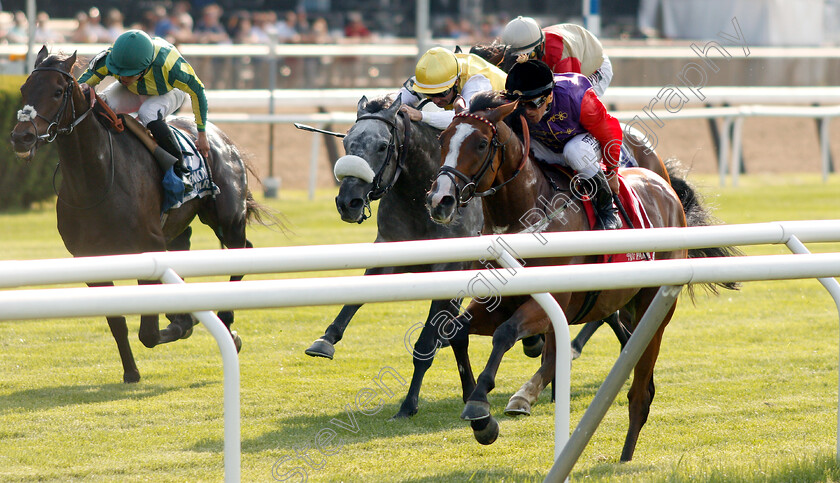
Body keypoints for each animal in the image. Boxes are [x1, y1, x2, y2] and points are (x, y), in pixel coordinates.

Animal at [9, 47, 272, 384]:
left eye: (57, 92)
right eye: (23, 89)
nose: (22, 137)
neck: (96, 181)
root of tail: (218, 135)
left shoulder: (149, 248)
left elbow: (148, 332)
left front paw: (182, 324)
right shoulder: (89, 259)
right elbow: (117, 322)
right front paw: (131, 371)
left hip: (227, 219)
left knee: (241, 253)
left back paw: (226, 324)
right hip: (177, 228)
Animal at [304, 95, 486, 420]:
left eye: (382, 146)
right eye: (347, 142)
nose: (348, 202)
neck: (421, 198)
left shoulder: (450, 267)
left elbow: (427, 343)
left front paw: (408, 404)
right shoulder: (389, 250)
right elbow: (355, 298)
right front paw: (325, 341)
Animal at [426, 92, 736, 464]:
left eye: (482, 143)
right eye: (443, 140)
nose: (439, 200)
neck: (527, 215)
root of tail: (663, 184)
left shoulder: (550, 303)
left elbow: (506, 334)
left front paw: (479, 405)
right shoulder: (499, 301)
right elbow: (458, 332)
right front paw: (482, 415)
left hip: (654, 305)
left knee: (640, 391)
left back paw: (624, 456)